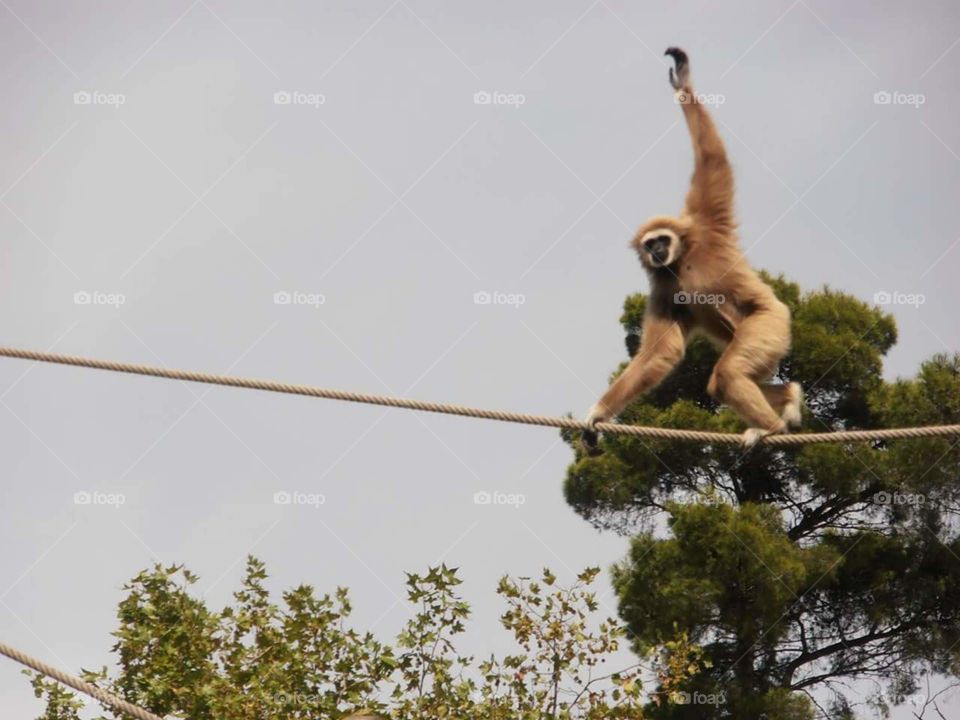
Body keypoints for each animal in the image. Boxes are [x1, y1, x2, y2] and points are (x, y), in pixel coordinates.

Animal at [583, 47, 802, 450]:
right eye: (650, 244)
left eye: (662, 240)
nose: (656, 252)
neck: (682, 258)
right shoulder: (662, 285)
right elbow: (660, 353)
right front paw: (598, 415)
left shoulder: (704, 222)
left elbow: (712, 159)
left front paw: (683, 83)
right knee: (725, 380)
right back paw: (789, 398)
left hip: (769, 324)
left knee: (728, 373)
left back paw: (771, 428)